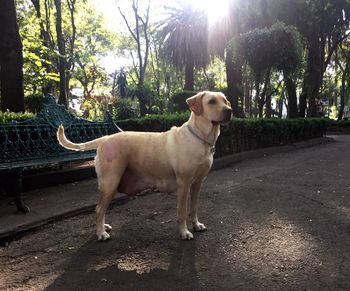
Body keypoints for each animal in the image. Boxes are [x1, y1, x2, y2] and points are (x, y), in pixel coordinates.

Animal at [56, 91, 232, 242]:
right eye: (211, 101)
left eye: (225, 101)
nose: (230, 110)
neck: (199, 137)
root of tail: (105, 138)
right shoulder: (183, 184)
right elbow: (182, 211)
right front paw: (184, 232)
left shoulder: (197, 183)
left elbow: (194, 207)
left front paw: (196, 225)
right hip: (110, 183)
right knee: (99, 209)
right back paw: (101, 233)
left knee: (101, 208)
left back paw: (103, 227)